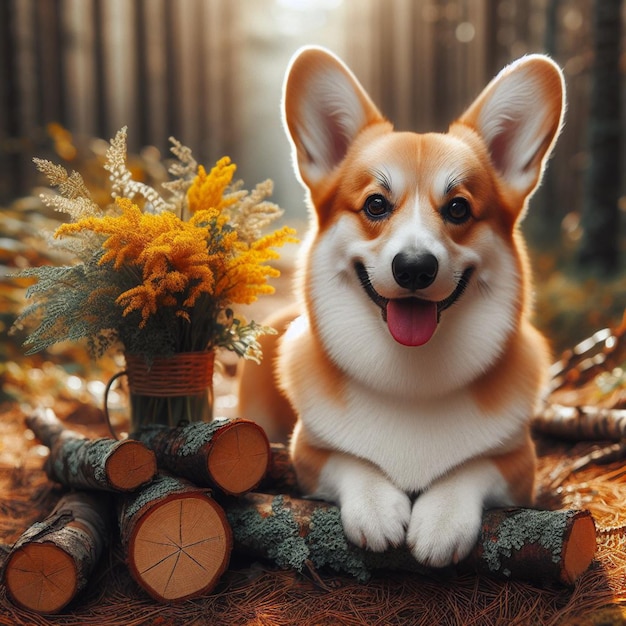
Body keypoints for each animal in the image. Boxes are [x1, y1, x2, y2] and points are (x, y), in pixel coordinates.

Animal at [238, 47, 560, 564]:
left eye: (458, 208)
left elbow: (473, 467)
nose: (414, 268)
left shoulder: (519, 464)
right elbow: (348, 459)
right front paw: (376, 508)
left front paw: (441, 519)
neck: (411, 380)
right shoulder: (308, 452)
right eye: (375, 205)